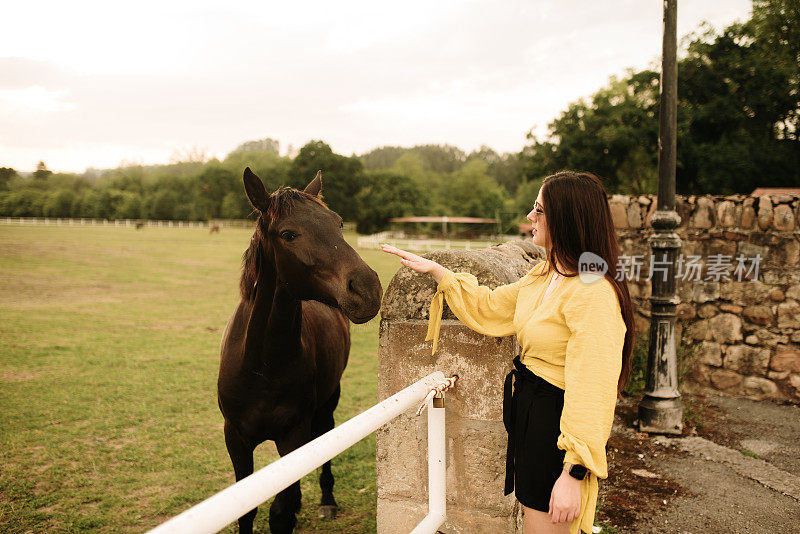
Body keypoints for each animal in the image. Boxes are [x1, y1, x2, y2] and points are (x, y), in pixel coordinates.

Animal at [217, 169, 382, 534]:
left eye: (338, 223)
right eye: (288, 234)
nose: (368, 289)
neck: (261, 366)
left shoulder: (294, 436)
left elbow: (280, 512)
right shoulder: (235, 438)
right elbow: (246, 510)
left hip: (326, 406)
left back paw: (326, 502)